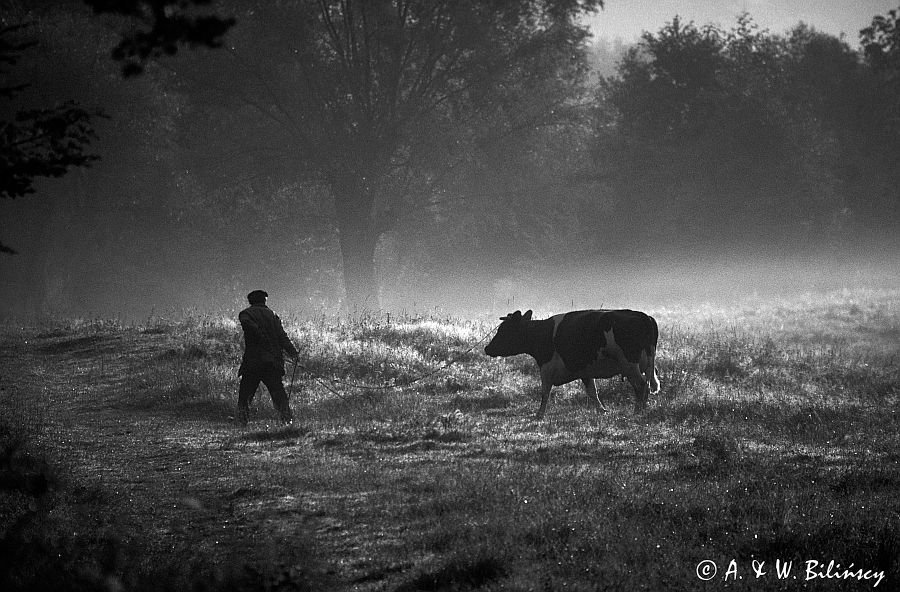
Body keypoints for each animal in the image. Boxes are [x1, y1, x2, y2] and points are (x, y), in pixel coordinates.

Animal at [486, 310, 660, 416]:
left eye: (503, 330)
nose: (487, 348)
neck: (542, 333)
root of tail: (644, 316)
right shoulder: (584, 370)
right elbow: (592, 392)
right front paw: (602, 410)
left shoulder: (546, 367)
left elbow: (545, 391)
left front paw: (539, 415)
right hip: (645, 365)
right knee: (646, 385)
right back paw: (643, 408)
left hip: (629, 365)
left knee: (641, 385)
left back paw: (637, 411)